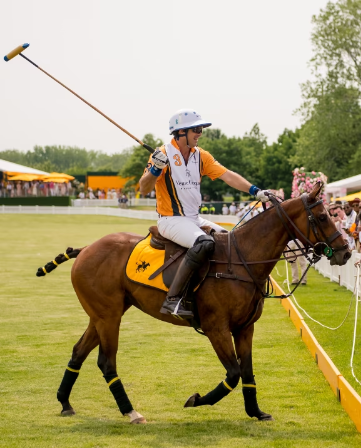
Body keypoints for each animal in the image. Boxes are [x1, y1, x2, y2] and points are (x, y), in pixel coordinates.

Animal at [38, 182, 348, 424]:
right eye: (322, 216)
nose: (345, 252)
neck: (244, 260)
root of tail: (85, 249)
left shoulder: (245, 328)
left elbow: (247, 372)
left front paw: (256, 412)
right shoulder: (216, 327)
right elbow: (233, 373)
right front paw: (197, 400)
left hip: (102, 314)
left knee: (78, 352)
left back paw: (65, 403)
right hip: (109, 316)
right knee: (106, 362)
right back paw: (131, 412)